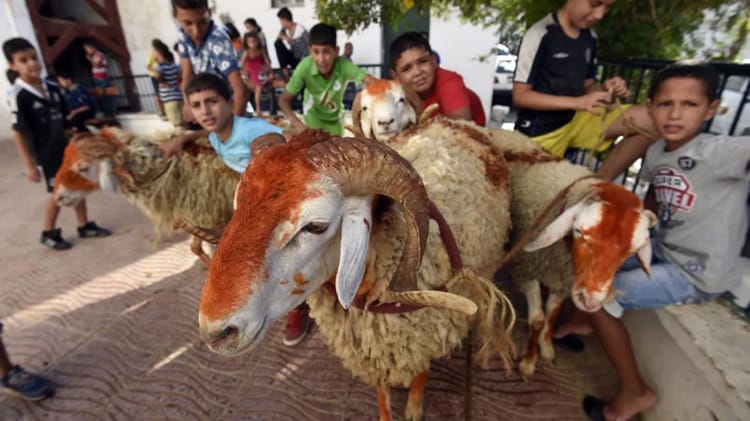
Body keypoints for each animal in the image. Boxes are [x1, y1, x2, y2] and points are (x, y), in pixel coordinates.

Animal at [53, 128, 240, 265]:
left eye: (83, 168)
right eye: (63, 160)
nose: (59, 198)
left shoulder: (209, 216)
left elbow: (204, 248)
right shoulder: (199, 217)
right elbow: (198, 247)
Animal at [196, 121, 516, 421]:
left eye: (316, 226)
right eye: (238, 205)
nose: (215, 332)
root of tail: (456, 123)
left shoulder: (425, 337)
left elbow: (420, 372)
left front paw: (414, 407)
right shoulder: (373, 353)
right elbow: (381, 394)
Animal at [486, 127, 656, 380]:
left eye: (632, 251)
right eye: (579, 231)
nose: (591, 299)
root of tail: (501, 130)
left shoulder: (562, 281)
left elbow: (552, 314)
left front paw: (546, 349)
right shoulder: (527, 268)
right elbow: (538, 320)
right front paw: (528, 362)